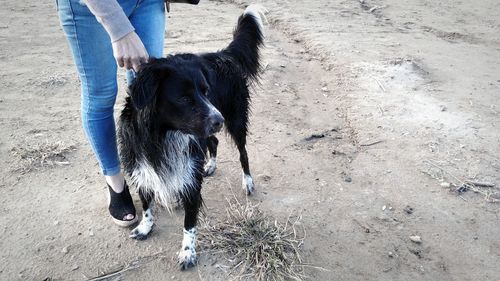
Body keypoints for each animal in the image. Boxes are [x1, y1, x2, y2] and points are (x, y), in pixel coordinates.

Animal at [117, 4, 266, 270]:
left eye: (206, 91)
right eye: (184, 98)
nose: (219, 120)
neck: (163, 136)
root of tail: (222, 54)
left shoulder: (190, 180)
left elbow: (189, 222)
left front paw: (188, 252)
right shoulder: (141, 165)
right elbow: (146, 201)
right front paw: (145, 226)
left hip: (236, 120)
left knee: (243, 153)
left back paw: (247, 182)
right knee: (214, 141)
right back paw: (211, 165)